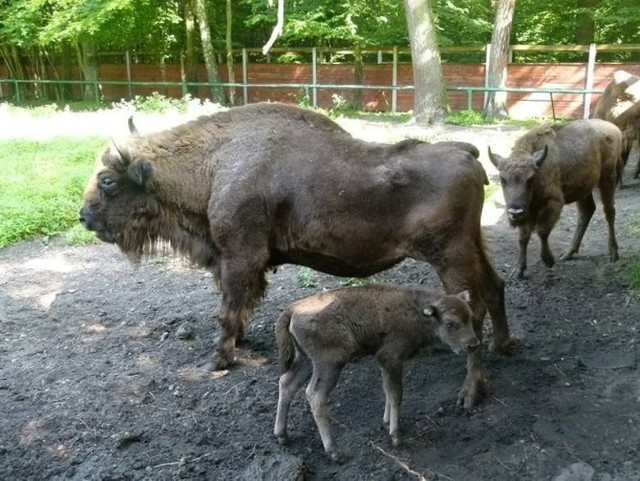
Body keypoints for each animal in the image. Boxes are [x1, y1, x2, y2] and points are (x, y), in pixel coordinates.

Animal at [80, 101, 512, 408]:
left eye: (107, 181)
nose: (84, 216)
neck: (215, 163)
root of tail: (468, 155)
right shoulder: (239, 264)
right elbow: (241, 306)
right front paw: (239, 345)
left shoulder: (239, 258)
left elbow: (228, 309)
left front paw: (217, 360)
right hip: (471, 246)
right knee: (495, 287)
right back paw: (503, 346)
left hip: (450, 257)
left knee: (473, 310)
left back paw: (470, 393)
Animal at [272, 284, 478, 460]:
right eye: (450, 323)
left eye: (469, 315)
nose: (473, 345)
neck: (418, 313)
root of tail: (292, 310)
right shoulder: (392, 359)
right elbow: (396, 394)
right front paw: (396, 435)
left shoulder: (385, 363)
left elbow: (387, 391)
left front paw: (386, 422)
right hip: (330, 363)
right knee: (316, 395)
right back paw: (334, 451)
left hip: (305, 360)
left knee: (286, 383)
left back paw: (282, 435)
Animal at [490, 117, 620, 280]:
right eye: (502, 179)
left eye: (530, 179)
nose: (515, 212)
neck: (539, 170)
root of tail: (614, 128)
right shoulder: (528, 212)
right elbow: (523, 238)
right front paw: (518, 270)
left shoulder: (554, 203)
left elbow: (542, 231)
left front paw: (549, 260)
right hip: (584, 188)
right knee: (586, 212)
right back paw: (568, 253)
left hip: (608, 178)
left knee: (609, 212)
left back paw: (613, 254)